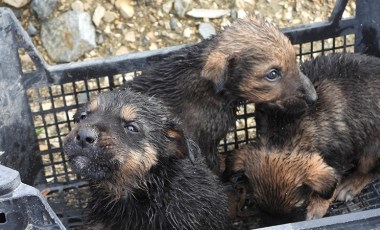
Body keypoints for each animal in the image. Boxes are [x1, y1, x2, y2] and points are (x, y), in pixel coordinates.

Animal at [226, 52, 380, 225]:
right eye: (257, 204)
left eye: (298, 208)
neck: (284, 132)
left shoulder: (338, 156)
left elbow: (329, 186)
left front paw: (317, 206)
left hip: (372, 148)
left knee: (371, 171)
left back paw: (350, 185)